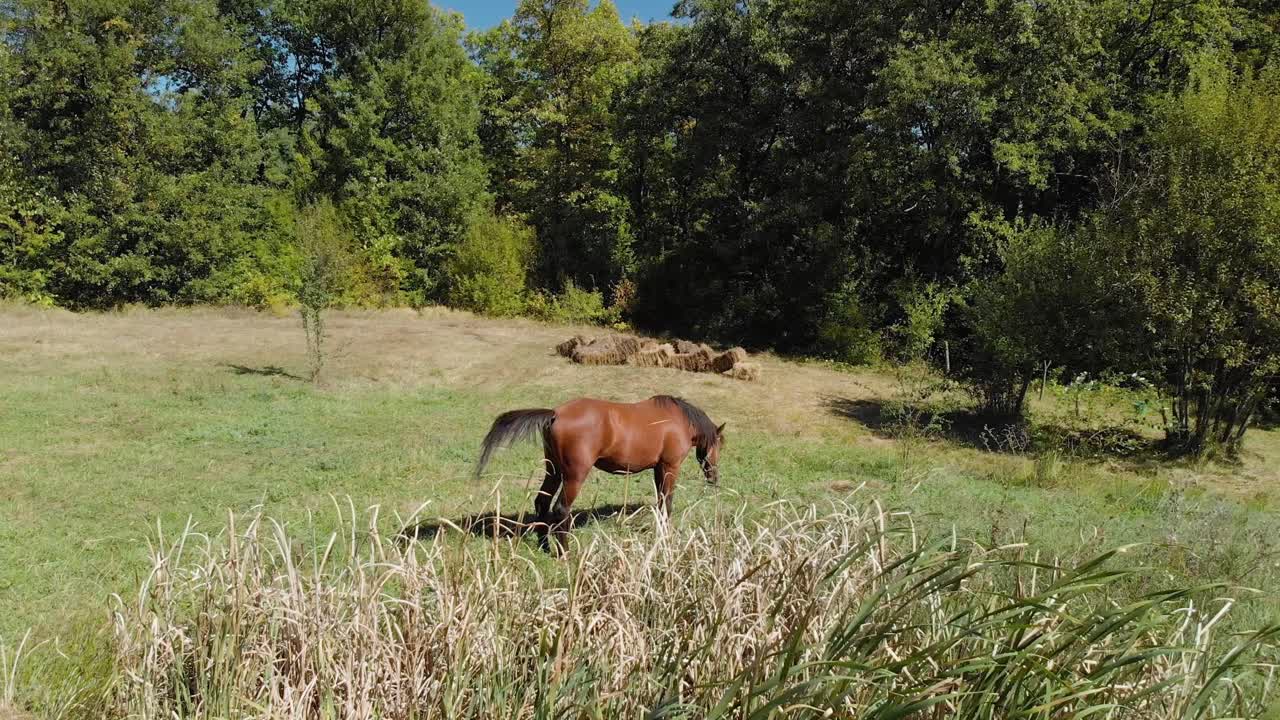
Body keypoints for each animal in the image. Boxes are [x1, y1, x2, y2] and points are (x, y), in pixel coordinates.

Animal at [475, 395, 725, 548]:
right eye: (720, 445)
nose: (714, 477)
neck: (678, 420)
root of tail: (555, 413)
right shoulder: (669, 467)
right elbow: (668, 502)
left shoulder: (658, 468)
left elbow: (661, 501)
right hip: (574, 475)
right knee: (560, 509)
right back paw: (564, 553)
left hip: (553, 471)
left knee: (542, 502)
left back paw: (544, 544)